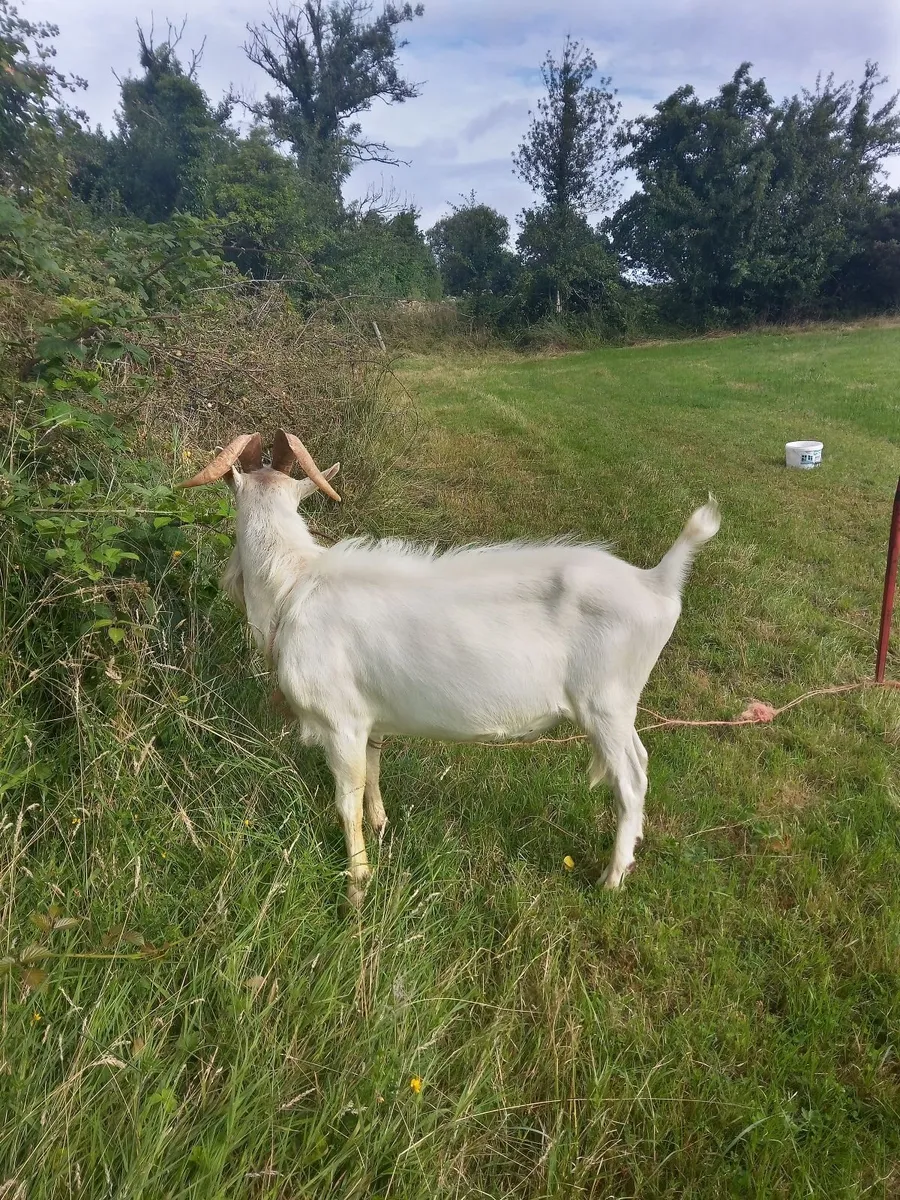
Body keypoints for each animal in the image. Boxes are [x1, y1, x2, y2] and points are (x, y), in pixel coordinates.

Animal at [180, 430, 720, 907]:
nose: (227, 578)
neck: (293, 583)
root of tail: (658, 583)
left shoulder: (341, 722)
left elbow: (345, 800)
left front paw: (357, 884)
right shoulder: (371, 719)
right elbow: (374, 770)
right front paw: (382, 825)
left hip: (605, 704)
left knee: (631, 781)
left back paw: (611, 879)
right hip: (618, 708)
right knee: (641, 760)